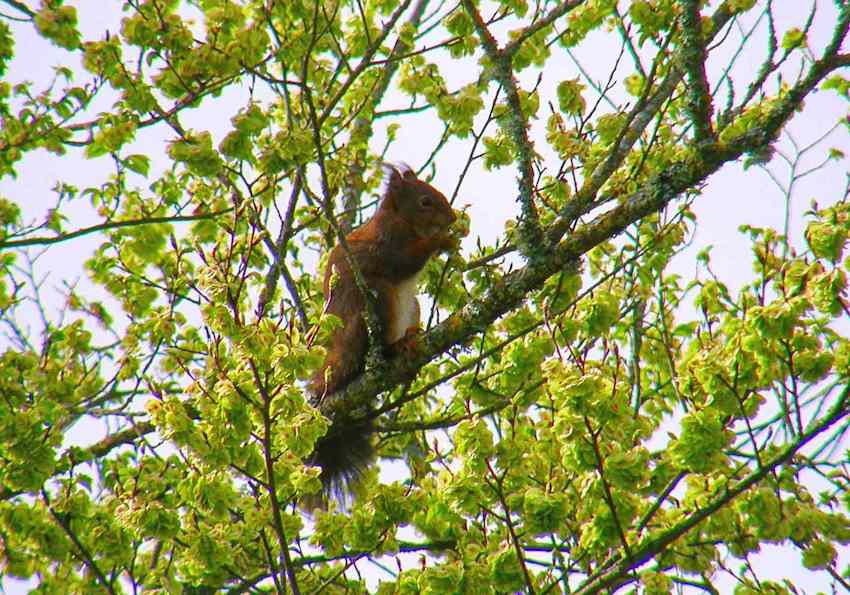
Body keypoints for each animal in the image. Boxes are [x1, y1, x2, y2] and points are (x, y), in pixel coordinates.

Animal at [306, 163, 458, 508]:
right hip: (380, 299)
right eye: (426, 201)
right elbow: (404, 261)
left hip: (412, 306)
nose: (453, 218)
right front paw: (441, 241)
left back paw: (412, 337)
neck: (405, 221)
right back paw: (396, 346)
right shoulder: (388, 241)